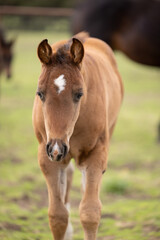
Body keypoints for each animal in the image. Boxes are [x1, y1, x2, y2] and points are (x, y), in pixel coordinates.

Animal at [31, 32, 123, 240]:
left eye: (79, 94)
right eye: (40, 93)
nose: (56, 148)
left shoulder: (95, 153)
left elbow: (90, 212)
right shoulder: (47, 155)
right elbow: (57, 216)